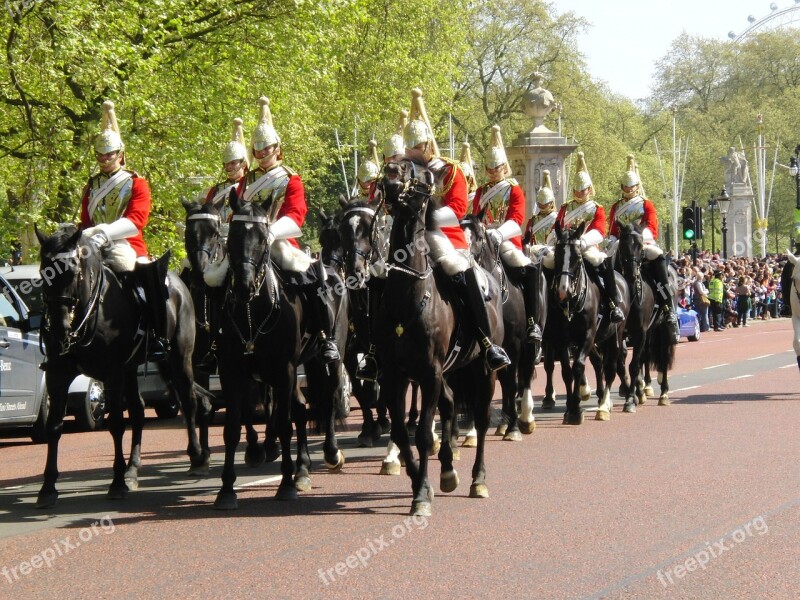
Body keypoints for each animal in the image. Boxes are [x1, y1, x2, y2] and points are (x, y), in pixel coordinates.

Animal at [34, 225, 209, 506]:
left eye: (72, 270)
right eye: (44, 272)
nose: (59, 329)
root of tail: (179, 281)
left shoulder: (112, 374)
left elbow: (116, 424)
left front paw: (115, 484)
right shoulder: (57, 376)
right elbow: (54, 427)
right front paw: (48, 488)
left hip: (178, 358)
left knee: (189, 400)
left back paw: (196, 456)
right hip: (132, 369)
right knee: (139, 411)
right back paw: (132, 470)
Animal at [212, 195, 346, 508]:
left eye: (263, 238)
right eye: (232, 236)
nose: (244, 285)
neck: (252, 311)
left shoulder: (283, 370)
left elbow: (284, 424)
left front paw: (285, 484)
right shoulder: (232, 373)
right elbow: (232, 427)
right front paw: (226, 489)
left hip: (327, 360)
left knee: (329, 398)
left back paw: (330, 453)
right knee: (301, 406)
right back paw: (303, 471)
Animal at [376, 159, 500, 516]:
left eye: (418, 172)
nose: (391, 174)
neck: (408, 295)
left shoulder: (429, 373)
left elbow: (421, 435)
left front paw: (420, 496)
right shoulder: (395, 375)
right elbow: (401, 433)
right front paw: (423, 484)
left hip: (482, 370)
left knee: (482, 419)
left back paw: (478, 480)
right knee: (448, 403)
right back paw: (447, 471)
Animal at [460, 213, 540, 438]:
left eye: (479, 237)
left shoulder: (514, 344)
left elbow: (512, 383)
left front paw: (514, 428)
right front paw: (472, 431)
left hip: (528, 344)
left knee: (524, 374)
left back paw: (524, 419)